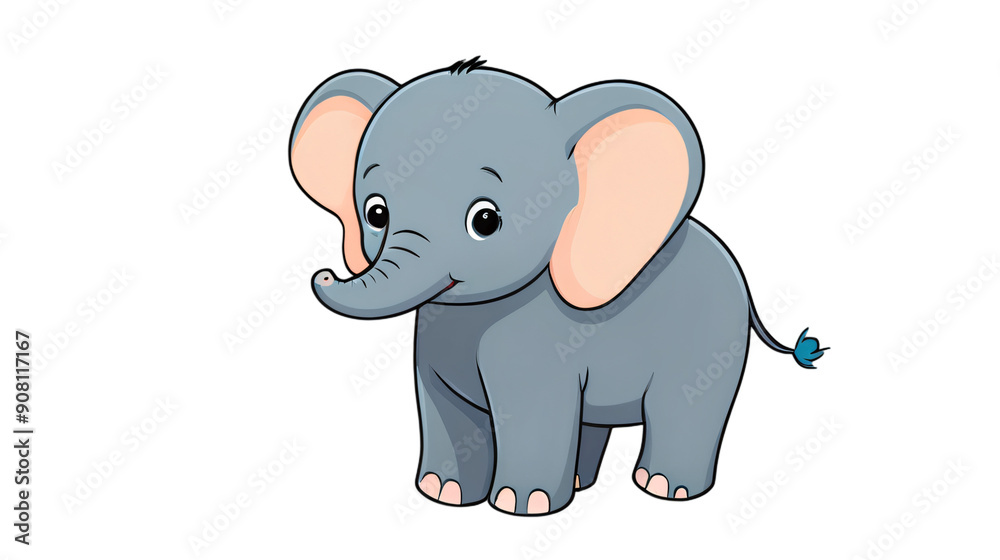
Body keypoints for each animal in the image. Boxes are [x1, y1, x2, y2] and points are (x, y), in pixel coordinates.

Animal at [288, 57, 827, 516]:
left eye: (486, 221)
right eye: (376, 212)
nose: (322, 273)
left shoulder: (538, 345)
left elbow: (532, 409)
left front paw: (521, 506)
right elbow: (444, 404)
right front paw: (444, 494)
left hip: (711, 340)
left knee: (686, 407)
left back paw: (663, 489)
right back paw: (584, 484)